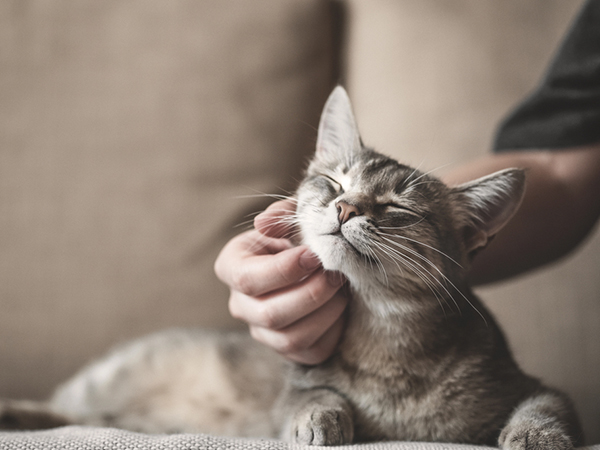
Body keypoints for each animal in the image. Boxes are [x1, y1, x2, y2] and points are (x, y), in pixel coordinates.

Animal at [0, 86, 580, 448]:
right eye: (336, 182)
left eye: (397, 207)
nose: (346, 209)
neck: (383, 339)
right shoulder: (293, 387)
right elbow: (312, 394)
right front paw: (321, 418)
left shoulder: (531, 385)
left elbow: (547, 407)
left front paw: (535, 436)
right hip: (108, 379)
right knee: (64, 409)